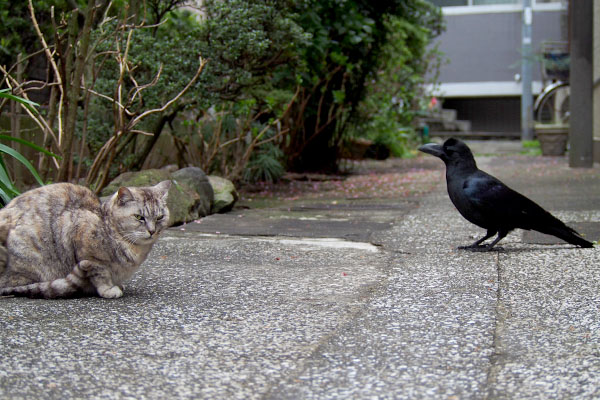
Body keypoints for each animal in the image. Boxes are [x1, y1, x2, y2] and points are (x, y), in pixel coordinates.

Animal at [0, 180, 171, 298]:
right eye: (139, 217)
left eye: (159, 217)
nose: (152, 231)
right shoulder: (89, 252)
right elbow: (100, 274)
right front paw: (108, 289)